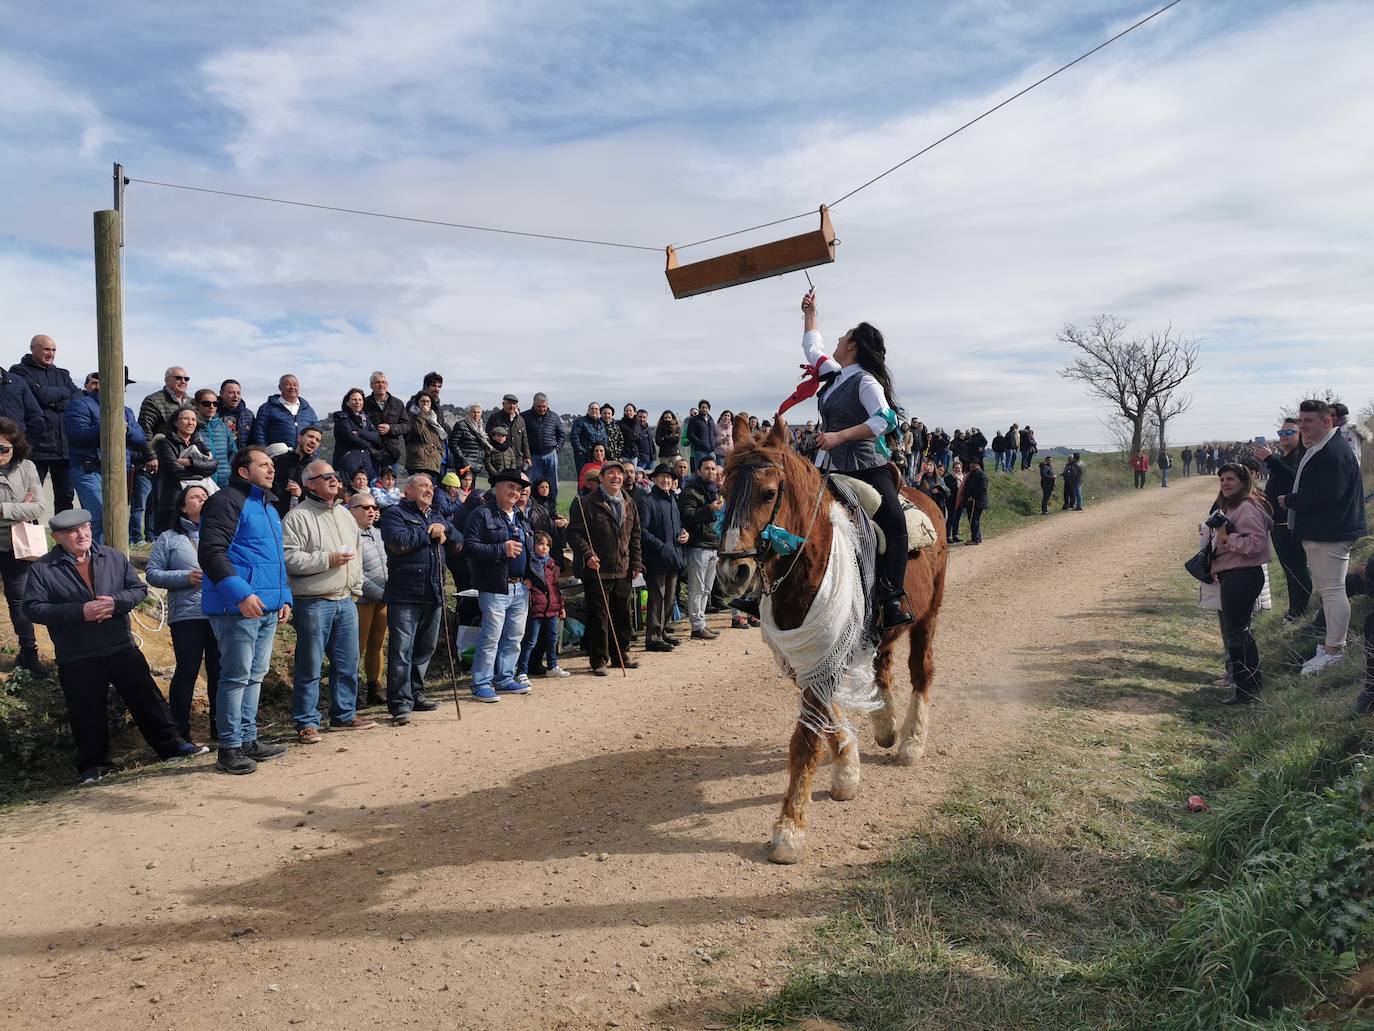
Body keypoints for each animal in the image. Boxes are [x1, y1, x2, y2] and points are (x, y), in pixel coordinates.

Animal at [714, 415, 950, 863]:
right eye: (722, 492)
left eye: (768, 492)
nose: (733, 572)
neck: (809, 561)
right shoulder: (808, 655)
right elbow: (828, 716)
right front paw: (847, 772)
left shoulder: (824, 651)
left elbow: (807, 739)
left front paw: (789, 829)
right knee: (883, 666)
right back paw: (884, 724)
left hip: (929, 615)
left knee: (921, 671)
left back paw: (912, 741)